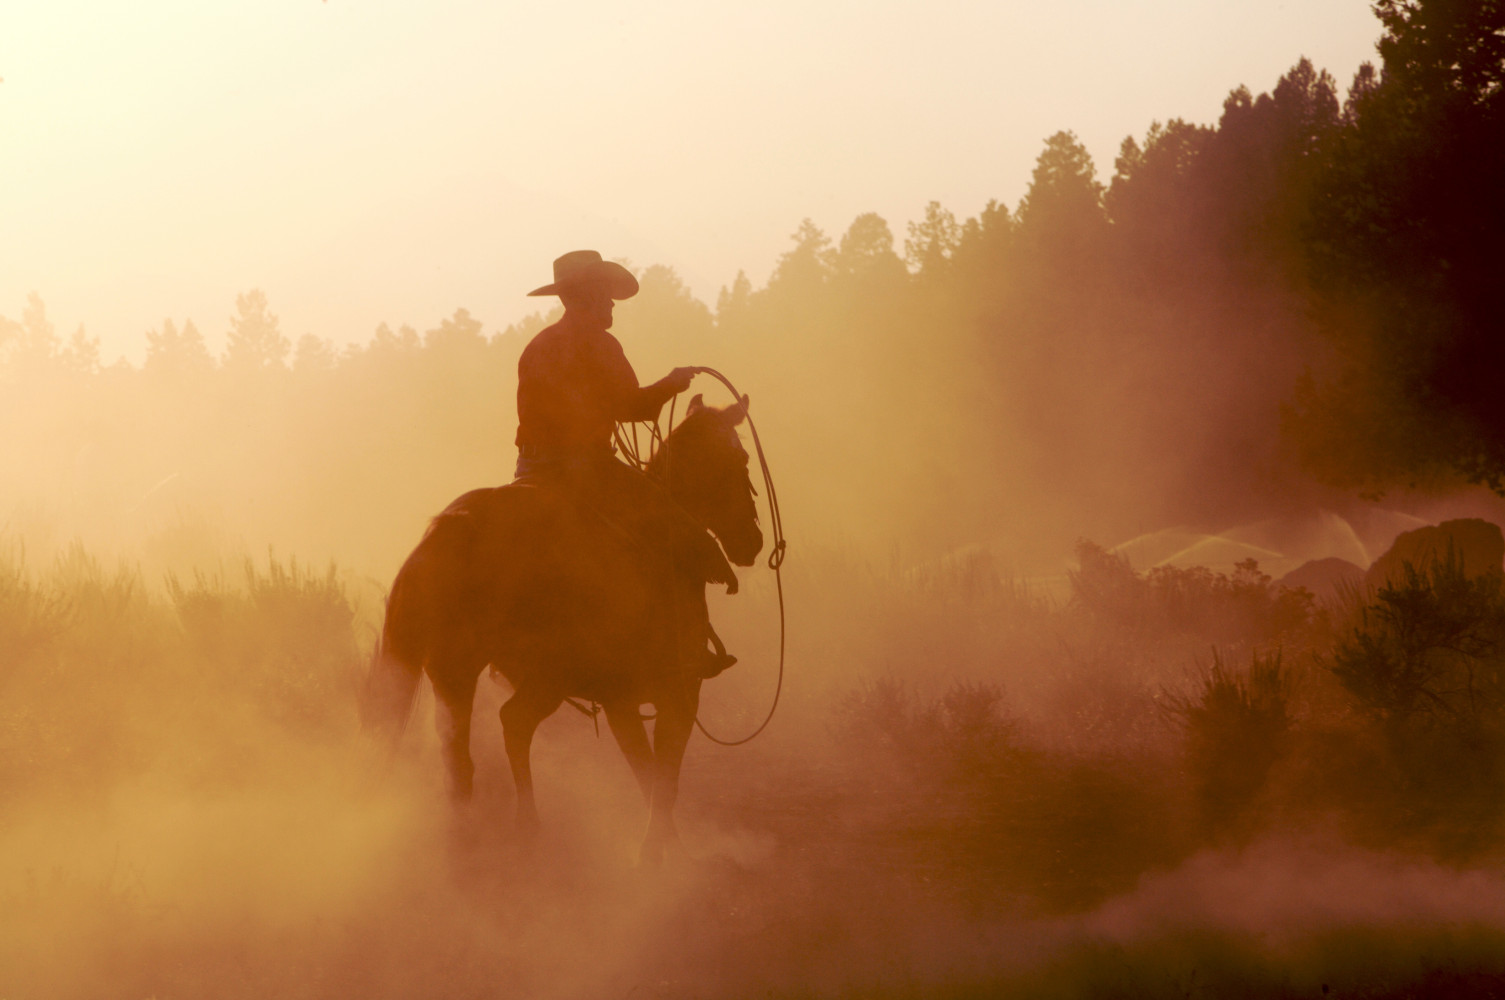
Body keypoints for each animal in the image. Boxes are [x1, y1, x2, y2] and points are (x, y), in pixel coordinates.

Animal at [364, 394, 764, 861]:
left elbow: (648, 772)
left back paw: (486, 836)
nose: (753, 542)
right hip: (541, 674)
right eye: (741, 458)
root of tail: (451, 528)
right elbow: (662, 775)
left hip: (459, 671)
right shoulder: (676, 689)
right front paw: (660, 851)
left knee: (465, 754)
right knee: (509, 726)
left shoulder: (620, 698)